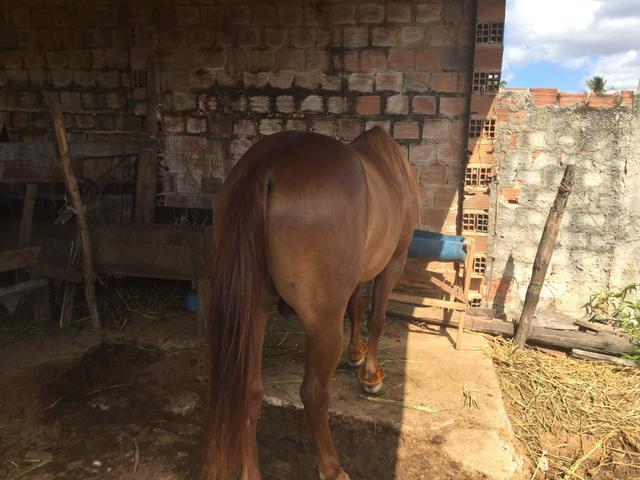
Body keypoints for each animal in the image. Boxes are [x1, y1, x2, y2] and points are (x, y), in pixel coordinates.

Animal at [204, 127, 420, 480]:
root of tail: (267, 163)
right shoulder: (394, 261)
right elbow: (376, 318)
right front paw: (371, 376)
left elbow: (356, 307)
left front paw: (356, 355)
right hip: (322, 323)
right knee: (314, 394)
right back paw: (333, 468)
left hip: (254, 312)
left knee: (250, 390)